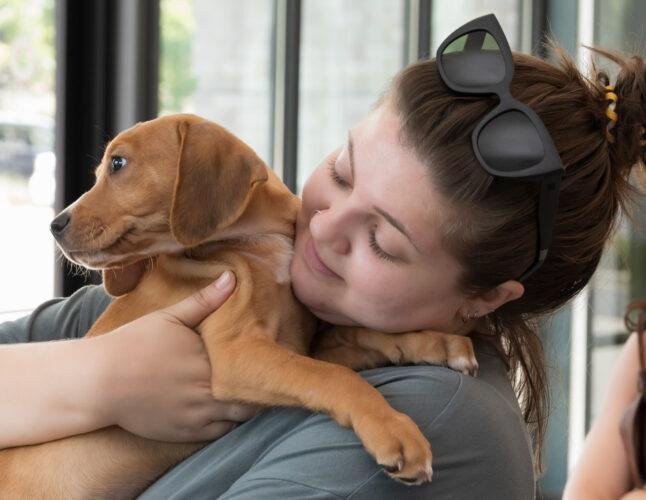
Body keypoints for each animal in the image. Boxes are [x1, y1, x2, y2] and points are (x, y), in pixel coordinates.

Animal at [0, 114, 477, 498]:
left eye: (117, 164)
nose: (54, 225)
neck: (260, 243)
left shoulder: (297, 345)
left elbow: (359, 335)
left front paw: (437, 342)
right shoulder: (237, 353)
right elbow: (335, 377)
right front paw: (394, 430)